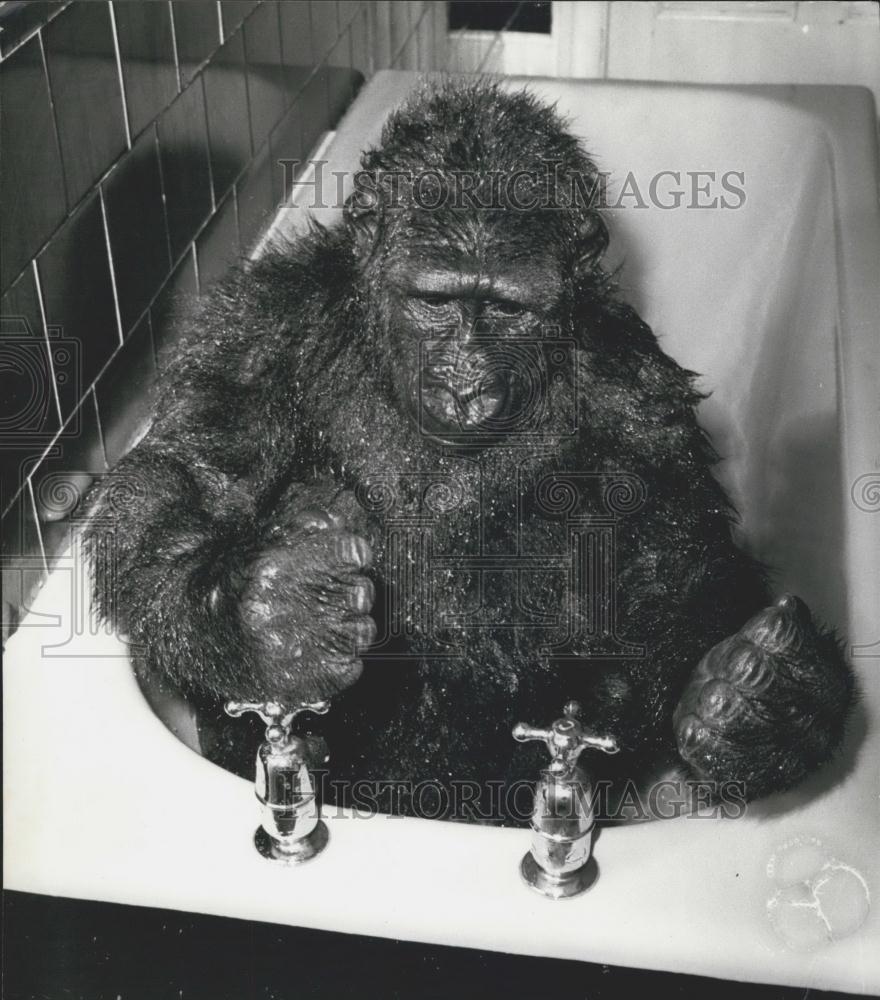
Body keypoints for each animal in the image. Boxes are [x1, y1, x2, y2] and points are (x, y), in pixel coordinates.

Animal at [85, 79, 854, 823]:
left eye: (508, 308)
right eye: (435, 299)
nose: (466, 383)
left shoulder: (636, 391)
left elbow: (680, 562)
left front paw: (779, 710)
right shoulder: (254, 334)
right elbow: (189, 489)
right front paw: (269, 618)